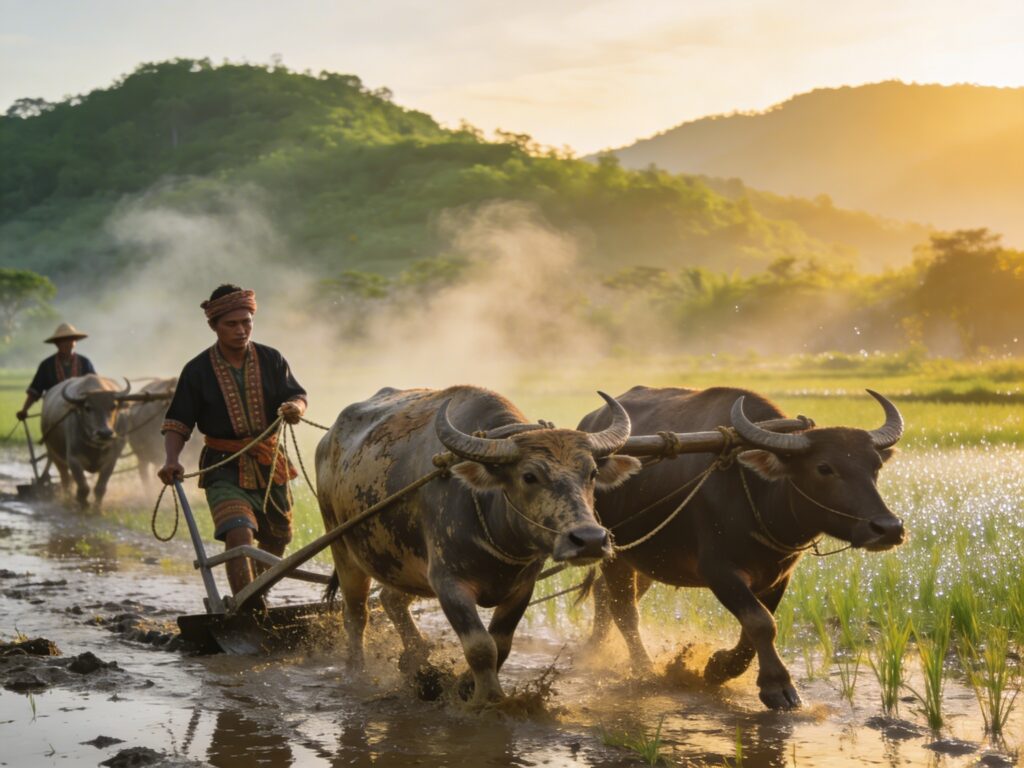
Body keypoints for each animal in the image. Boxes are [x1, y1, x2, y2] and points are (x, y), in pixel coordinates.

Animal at [315, 385, 641, 706]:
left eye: (592, 473)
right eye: (529, 476)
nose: (590, 540)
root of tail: (327, 442)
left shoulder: (523, 586)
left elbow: (502, 644)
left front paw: (466, 686)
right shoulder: (448, 583)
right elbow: (480, 646)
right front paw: (488, 698)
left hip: (404, 565)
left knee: (391, 599)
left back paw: (416, 659)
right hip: (342, 548)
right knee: (356, 615)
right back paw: (357, 672)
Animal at [578, 386, 904, 710]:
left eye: (875, 466)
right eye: (824, 468)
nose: (889, 528)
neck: (758, 493)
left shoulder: (778, 576)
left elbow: (758, 625)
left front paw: (719, 667)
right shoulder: (719, 571)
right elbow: (761, 623)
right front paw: (776, 686)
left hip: (645, 557)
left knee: (605, 596)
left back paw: (595, 649)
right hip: (613, 551)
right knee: (624, 608)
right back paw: (642, 666)